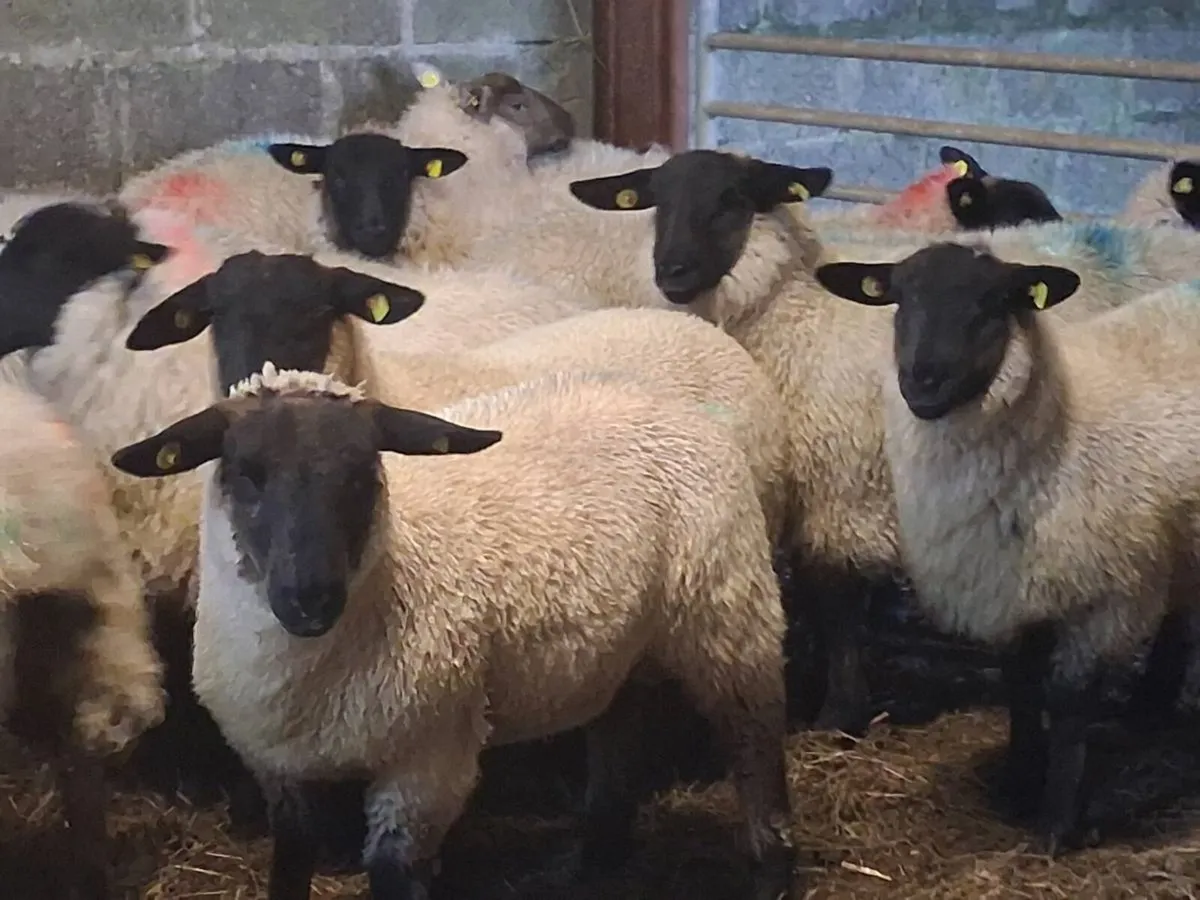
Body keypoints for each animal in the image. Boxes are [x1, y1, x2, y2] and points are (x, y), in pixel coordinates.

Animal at [108, 360, 798, 900]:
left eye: (363, 471)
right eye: (246, 470)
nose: (310, 597)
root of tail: (665, 401)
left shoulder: (427, 763)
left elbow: (392, 876)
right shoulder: (276, 766)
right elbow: (291, 864)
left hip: (731, 617)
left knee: (757, 753)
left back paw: (772, 871)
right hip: (627, 647)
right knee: (620, 732)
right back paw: (591, 860)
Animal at [813, 243, 1200, 856]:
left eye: (994, 301)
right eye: (900, 296)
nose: (922, 382)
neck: (1061, 440)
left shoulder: (1110, 598)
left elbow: (1067, 702)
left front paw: (1055, 825)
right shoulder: (1011, 584)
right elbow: (1020, 684)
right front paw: (1018, 781)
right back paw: (1150, 705)